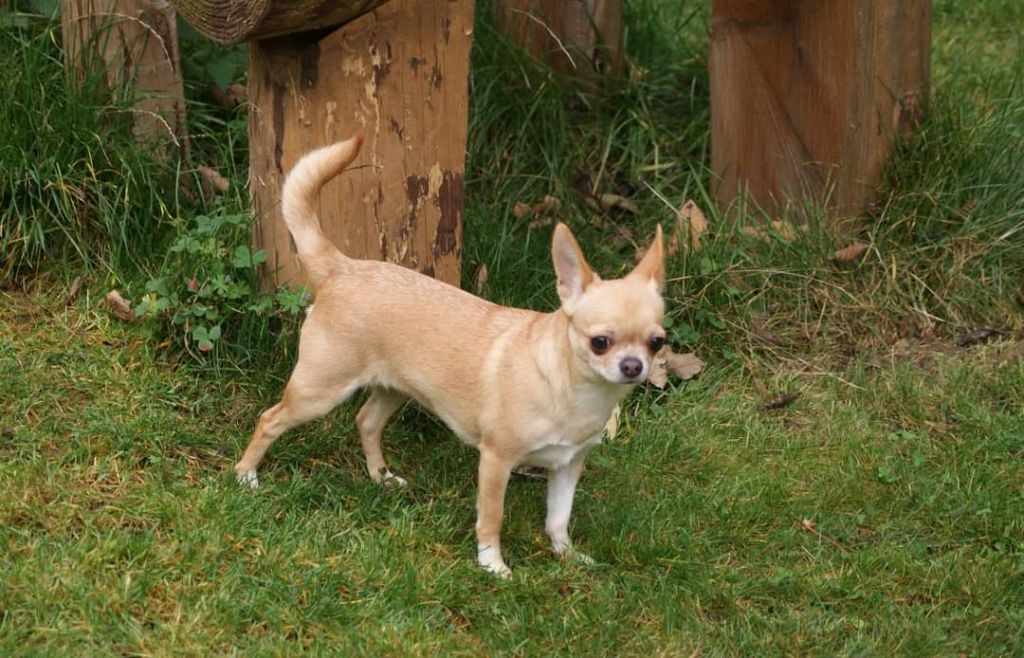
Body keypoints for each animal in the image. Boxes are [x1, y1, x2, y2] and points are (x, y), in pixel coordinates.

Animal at [235, 134, 665, 577]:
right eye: (600, 342)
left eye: (657, 343)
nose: (633, 366)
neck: (571, 388)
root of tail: (343, 267)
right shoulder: (496, 461)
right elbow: (492, 517)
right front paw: (492, 564)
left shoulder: (567, 466)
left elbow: (558, 517)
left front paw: (565, 553)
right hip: (318, 392)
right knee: (269, 419)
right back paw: (246, 475)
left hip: (393, 389)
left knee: (366, 421)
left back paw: (381, 477)